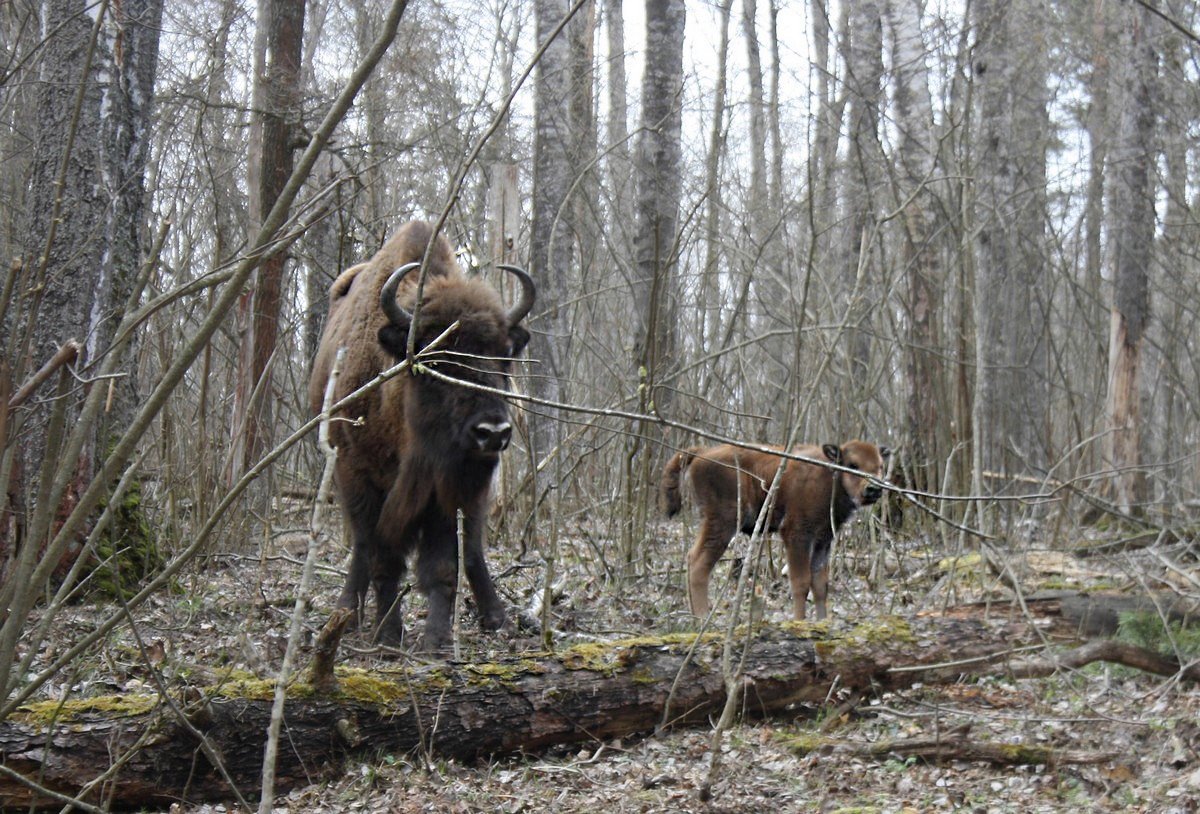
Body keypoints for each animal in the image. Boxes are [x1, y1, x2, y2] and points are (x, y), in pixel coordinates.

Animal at [309, 219, 535, 653]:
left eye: (503, 357)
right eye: (436, 360)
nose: (492, 433)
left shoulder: (444, 492)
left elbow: (444, 565)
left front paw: (437, 640)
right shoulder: (359, 478)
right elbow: (380, 557)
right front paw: (388, 636)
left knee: (473, 548)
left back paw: (496, 618)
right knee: (362, 549)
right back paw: (349, 612)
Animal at [662, 444, 888, 619]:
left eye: (880, 466)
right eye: (853, 465)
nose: (874, 489)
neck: (830, 476)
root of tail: (701, 452)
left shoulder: (823, 540)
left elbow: (820, 585)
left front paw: (822, 623)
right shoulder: (796, 535)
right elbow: (801, 583)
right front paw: (799, 622)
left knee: (691, 558)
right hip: (722, 523)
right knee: (699, 564)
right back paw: (702, 618)